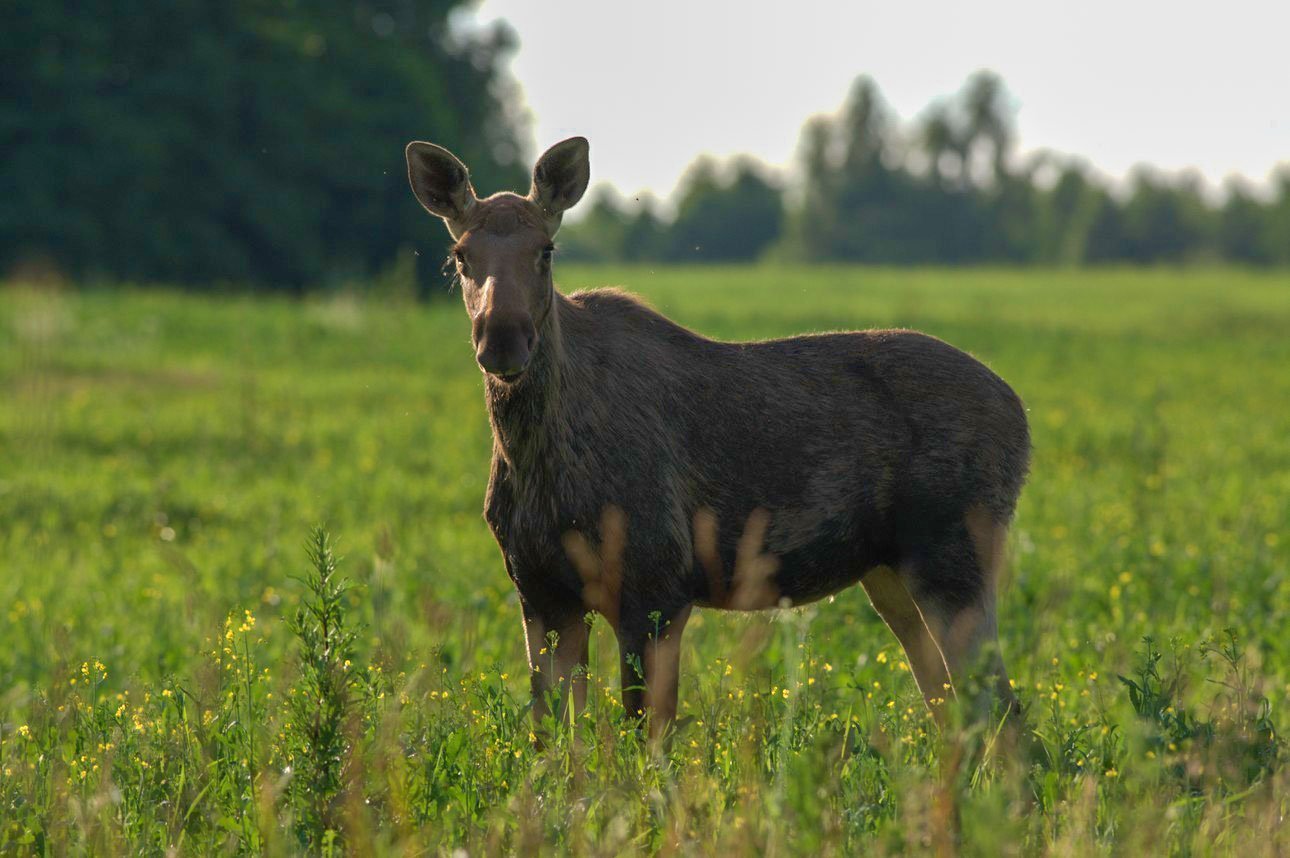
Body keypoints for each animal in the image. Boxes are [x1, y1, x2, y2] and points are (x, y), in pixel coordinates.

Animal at [402, 134, 1026, 738]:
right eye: (460, 255)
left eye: (547, 250)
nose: (502, 339)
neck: (536, 460)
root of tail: (1021, 416)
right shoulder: (538, 591)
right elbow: (552, 742)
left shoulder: (657, 581)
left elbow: (644, 740)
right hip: (890, 572)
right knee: (958, 713)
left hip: (956, 551)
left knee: (1006, 716)